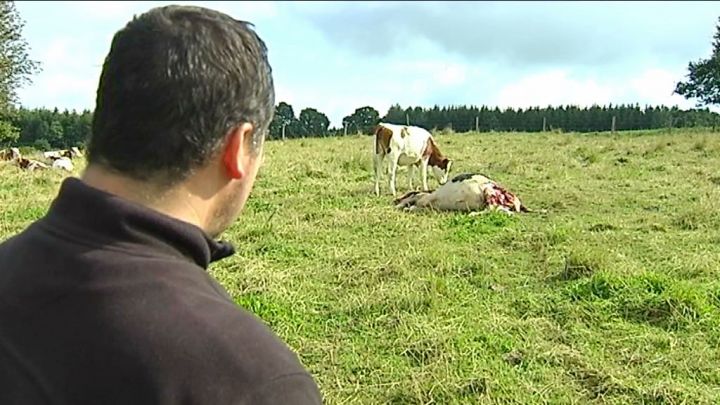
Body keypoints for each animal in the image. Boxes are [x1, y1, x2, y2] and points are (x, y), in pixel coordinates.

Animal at [394, 171, 528, 215]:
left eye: (407, 193)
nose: (395, 200)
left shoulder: (427, 199)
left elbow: (413, 206)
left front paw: (407, 207)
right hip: (497, 202)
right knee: (503, 211)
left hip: (488, 192)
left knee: (492, 210)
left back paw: (472, 214)